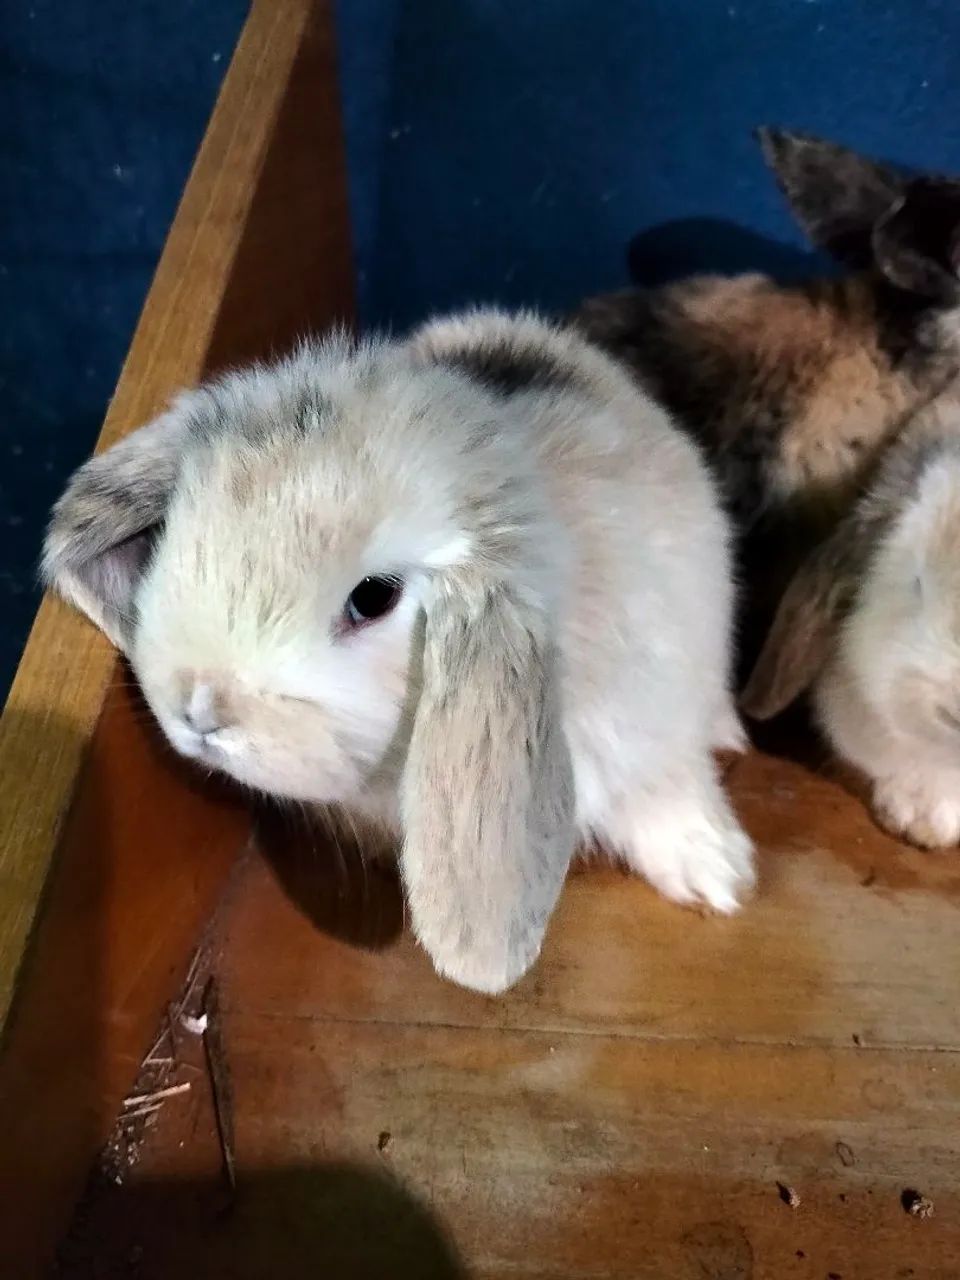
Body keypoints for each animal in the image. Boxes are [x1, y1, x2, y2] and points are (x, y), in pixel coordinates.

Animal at [44, 308, 755, 995]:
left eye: (373, 598)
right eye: (176, 532)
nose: (197, 711)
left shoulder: (649, 733)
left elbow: (667, 795)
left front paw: (718, 876)